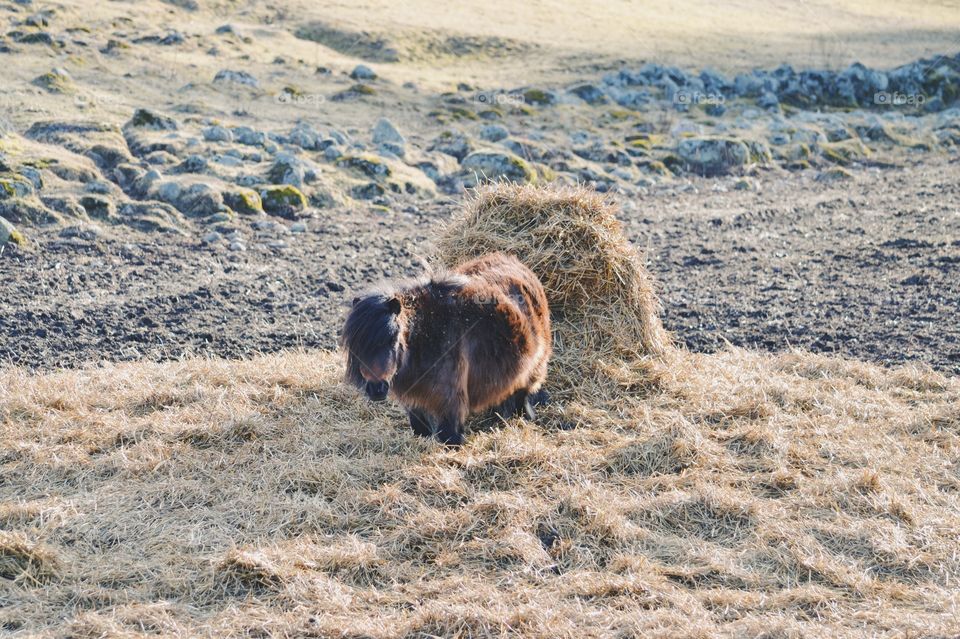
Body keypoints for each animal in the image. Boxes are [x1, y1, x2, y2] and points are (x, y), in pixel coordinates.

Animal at [342, 252, 552, 448]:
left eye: (393, 338)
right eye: (357, 345)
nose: (376, 389)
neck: (425, 335)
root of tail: (516, 263)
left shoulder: (449, 402)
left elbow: (449, 436)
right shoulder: (415, 402)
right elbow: (421, 429)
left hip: (534, 370)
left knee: (522, 396)